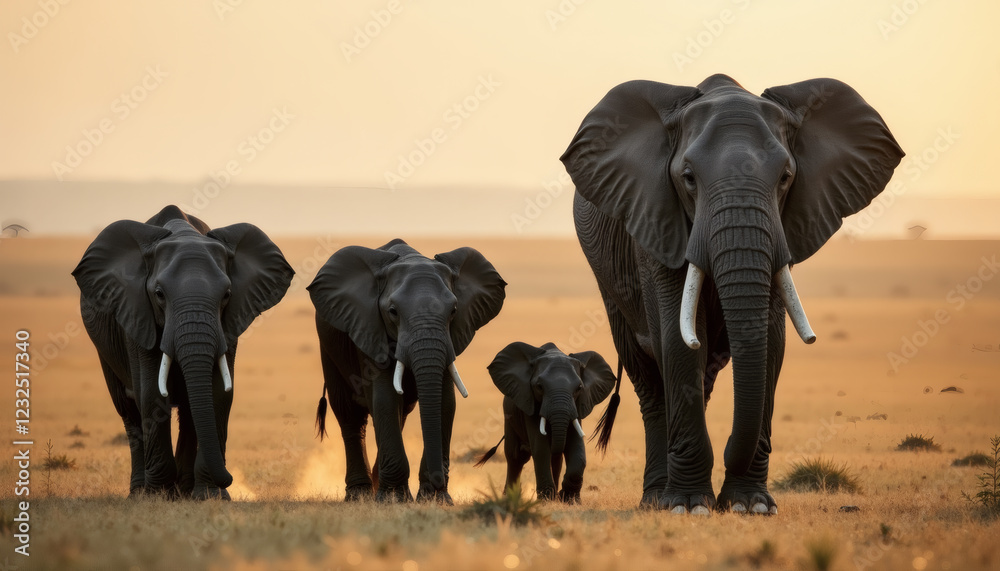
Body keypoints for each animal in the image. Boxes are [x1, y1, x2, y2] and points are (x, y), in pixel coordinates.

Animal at [73, 205, 294, 499]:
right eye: (158, 294)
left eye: (227, 295)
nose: (230, 478)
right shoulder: (137, 314)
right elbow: (151, 395)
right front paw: (157, 497)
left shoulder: (229, 324)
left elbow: (217, 393)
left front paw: (211, 496)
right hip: (105, 348)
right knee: (129, 410)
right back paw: (140, 493)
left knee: (188, 411)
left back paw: (183, 490)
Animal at [310, 239, 506, 503]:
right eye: (393, 311)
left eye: (454, 310)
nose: (438, 482)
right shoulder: (370, 328)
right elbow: (385, 398)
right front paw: (393, 500)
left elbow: (445, 401)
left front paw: (435, 500)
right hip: (329, 347)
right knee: (349, 416)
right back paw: (360, 495)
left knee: (398, 415)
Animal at [480, 342, 616, 502]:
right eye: (539, 387)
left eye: (579, 388)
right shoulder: (529, 404)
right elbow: (540, 448)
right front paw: (546, 500)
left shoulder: (577, 406)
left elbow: (578, 449)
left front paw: (569, 500)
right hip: (509, 416)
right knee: (516, 457)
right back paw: (511, 498)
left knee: (555, 458)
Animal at [561, 75, 903, 514]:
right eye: (688, 178)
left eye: (786, 177)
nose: (727, 453)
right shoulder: (656, 221)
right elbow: (677, 340)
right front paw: (689, 506)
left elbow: (771, 343)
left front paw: (749, 506)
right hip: (608, 280)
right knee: (649, 379)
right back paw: (655, 499)